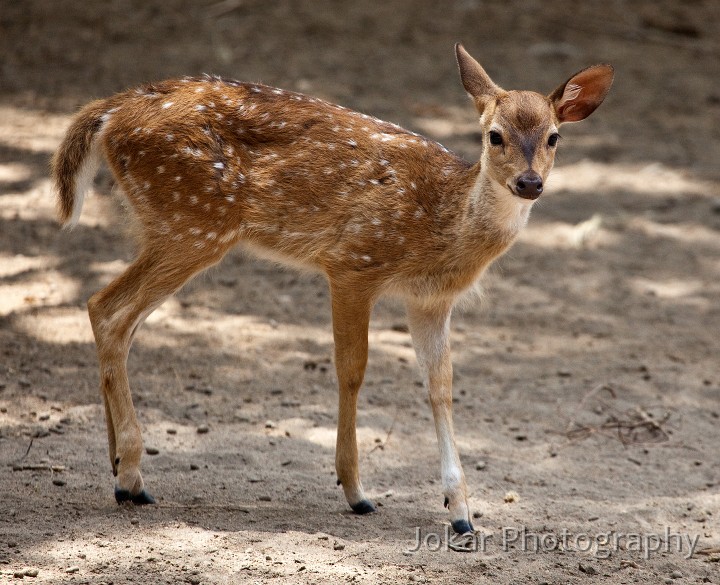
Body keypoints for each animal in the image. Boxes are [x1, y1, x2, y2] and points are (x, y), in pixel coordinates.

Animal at [52, 43, 612, 532]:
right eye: (494, 135)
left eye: (554, 137)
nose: (529, 183)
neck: (441, 223)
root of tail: (109, 111)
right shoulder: (352, 263)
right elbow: (352, 371)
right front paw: (357, 491)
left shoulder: (430, 301)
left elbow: (442, 386)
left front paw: (461, 512)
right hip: (191, 223)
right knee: (108, 310)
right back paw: (132, 476)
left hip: (171, 226)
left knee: (112, 316)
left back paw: (118, 467)